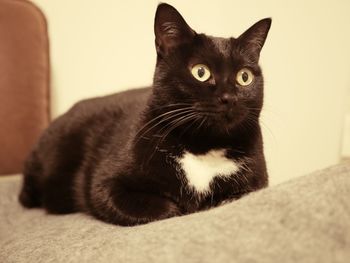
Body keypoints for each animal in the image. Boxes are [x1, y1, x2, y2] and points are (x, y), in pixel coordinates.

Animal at [18, 2, 270, 227]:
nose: (229, 98)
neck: (203, 147)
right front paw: (184, 207)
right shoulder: (105, 184)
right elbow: (163, 207)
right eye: (200, 72)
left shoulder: (257, 184)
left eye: (244, 77)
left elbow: (233, 197)